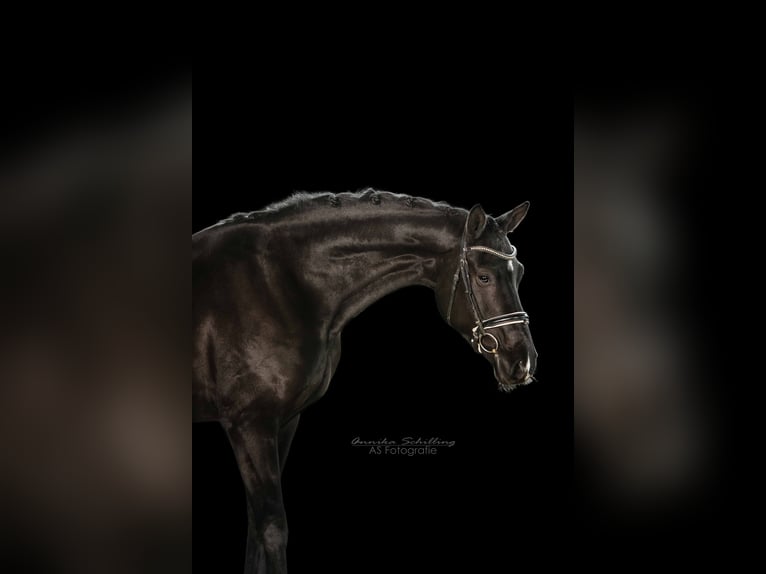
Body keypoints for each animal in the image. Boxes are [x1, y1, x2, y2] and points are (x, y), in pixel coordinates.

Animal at [192, 189, 537, 573]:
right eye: (483, 277)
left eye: (519, 273)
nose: (522, 362)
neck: (280, 282)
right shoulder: (249, 423)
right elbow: (271, 526)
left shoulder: (284, 421)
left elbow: (255, 529)